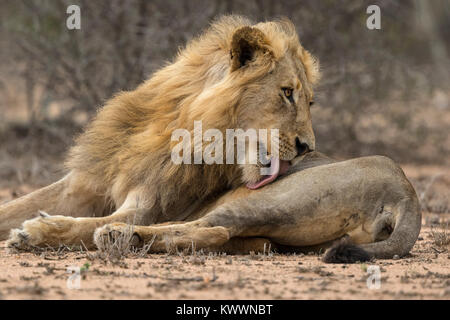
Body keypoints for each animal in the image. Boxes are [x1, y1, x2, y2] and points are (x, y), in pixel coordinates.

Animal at [0, 14, 422, 262]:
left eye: (310, 101)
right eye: (288, 93)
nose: (307, 147)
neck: (177, 127)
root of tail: (406, 192)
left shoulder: (145, 205)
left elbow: (78, 224)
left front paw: (35, 231)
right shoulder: (84, 185)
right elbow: (14, 207)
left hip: (265, 200)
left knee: (211, 227)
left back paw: (117, 236)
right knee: (228, 237)